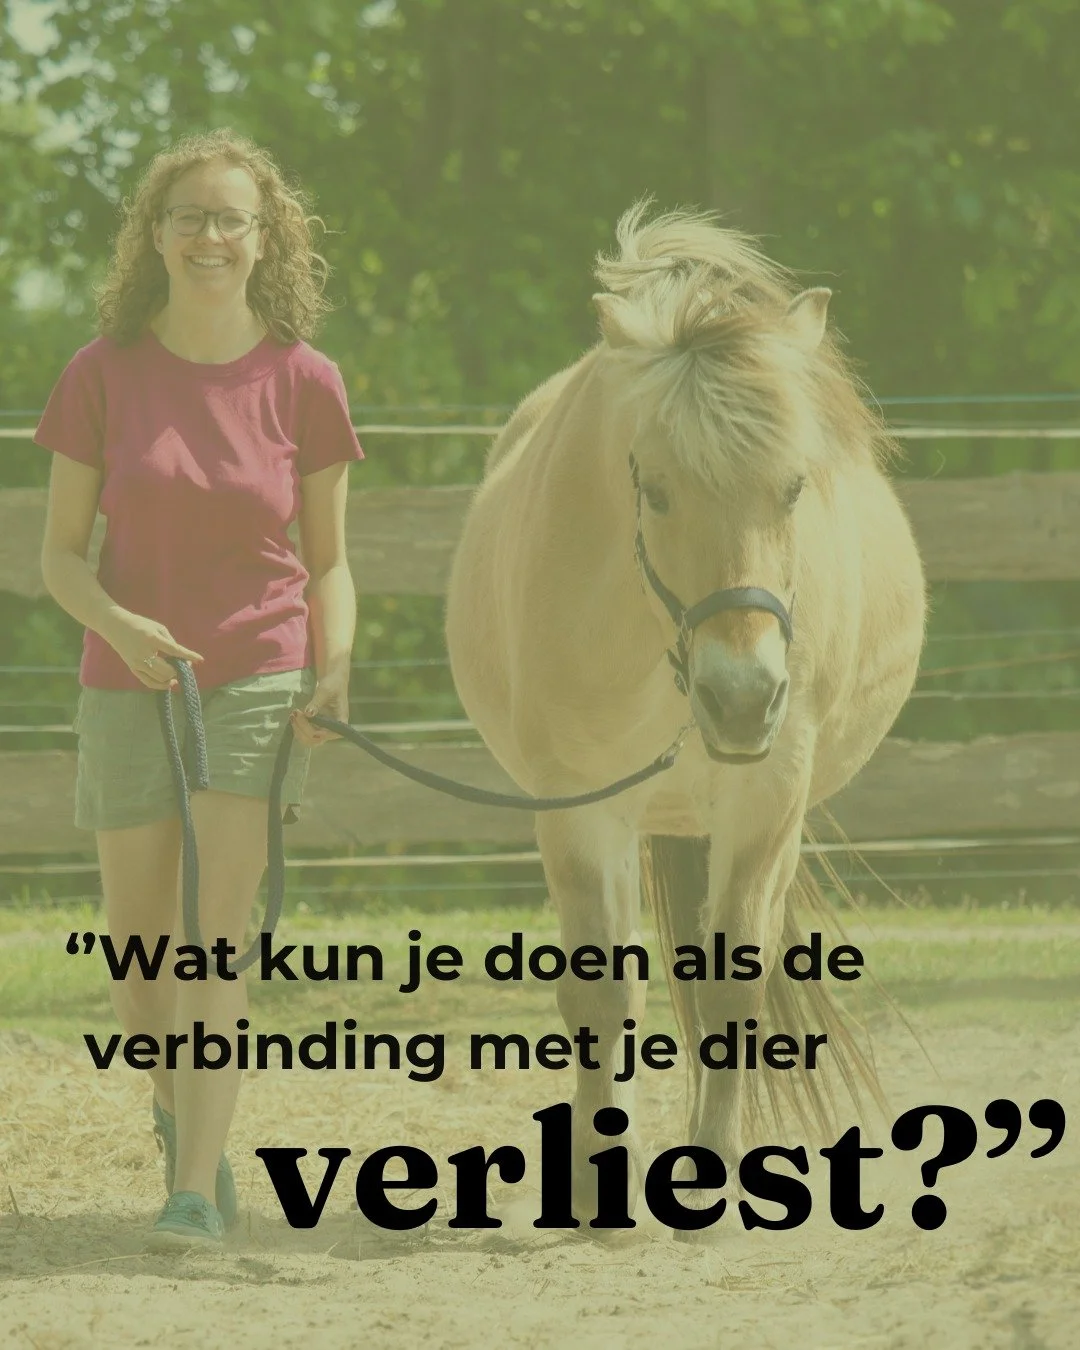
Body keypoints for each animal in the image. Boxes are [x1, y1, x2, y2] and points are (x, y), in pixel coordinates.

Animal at [444, 203, 926, 1229]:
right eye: (655, 488)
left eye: (794, 487)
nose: (741, 696)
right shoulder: (581, 808)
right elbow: (603, 993)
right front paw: (596, 1183)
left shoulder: (767, 800)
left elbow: (731, 985)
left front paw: (714, 1165)